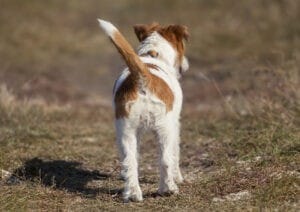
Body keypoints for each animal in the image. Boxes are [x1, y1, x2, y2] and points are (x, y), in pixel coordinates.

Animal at [97, 18, 189, 202]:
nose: (185, 66)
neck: (152, 54)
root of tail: (143, 77)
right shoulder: (175, 123)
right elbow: (175, 154)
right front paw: (178, 178)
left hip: (126, 130)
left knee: (130, 161)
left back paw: (132, 194)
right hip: (164, 128)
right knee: (166, 159)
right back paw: (168, 189)